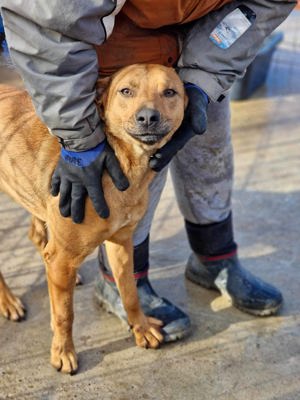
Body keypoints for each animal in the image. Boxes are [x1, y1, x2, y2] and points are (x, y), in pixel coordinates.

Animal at [0, 64, 186, 374]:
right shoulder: (64, 256)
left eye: (170, 92)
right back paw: (9, 302)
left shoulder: (121, 243)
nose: (148, 117)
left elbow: (130, 293)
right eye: (126, 91)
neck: (120, 164)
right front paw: (63, 352)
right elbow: (66, 315)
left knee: (38, 237)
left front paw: (141, 327)